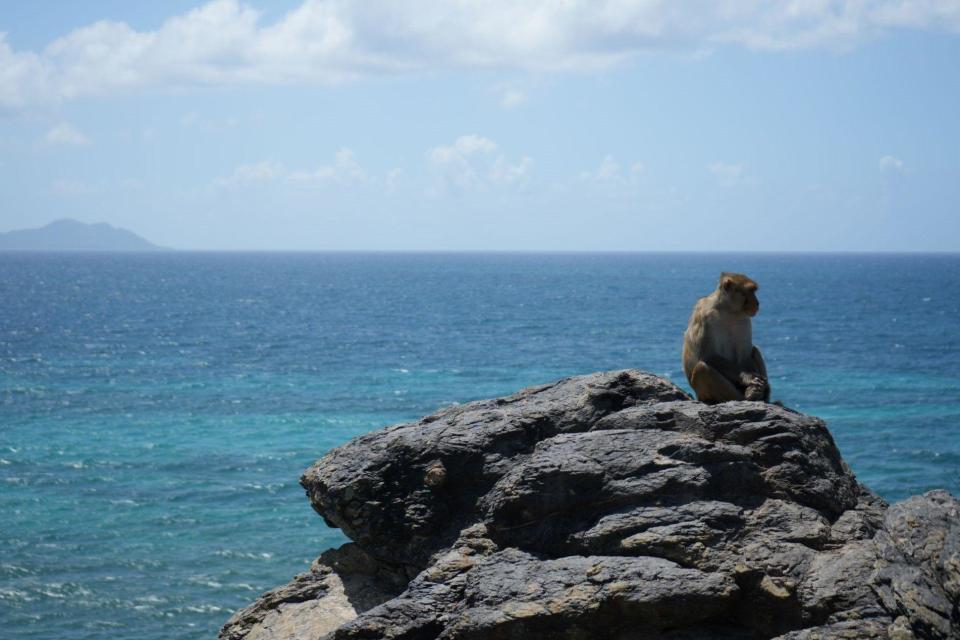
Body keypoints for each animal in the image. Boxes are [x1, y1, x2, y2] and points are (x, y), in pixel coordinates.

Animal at [684, 272, 772, 402]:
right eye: (750, 291)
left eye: (754, 291)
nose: (757, 303)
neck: (728, 311)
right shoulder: (705, 317)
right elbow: (708, 355)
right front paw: (749, 378)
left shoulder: (745, 320)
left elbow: (745, 355)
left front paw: (756, 387)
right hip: (702, 394)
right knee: (702, 369)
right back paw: (745, 397)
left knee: (754, 349)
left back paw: (761, 394)